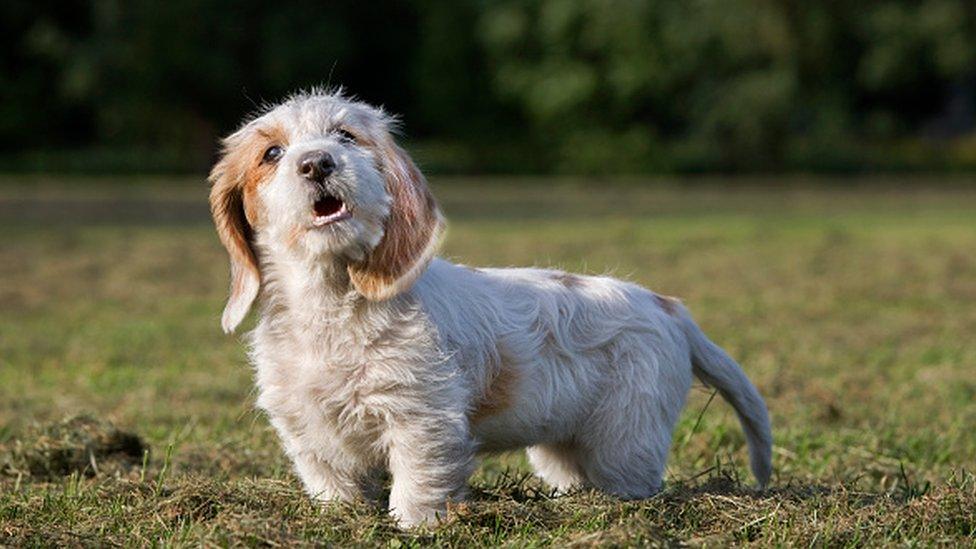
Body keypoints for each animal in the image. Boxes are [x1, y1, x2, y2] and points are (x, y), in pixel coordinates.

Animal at [208, 90, 772, 528]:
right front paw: (341, 519)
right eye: (271, 153)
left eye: (345, 136)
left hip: (625, 438)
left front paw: (413, 527)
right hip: (563, 446)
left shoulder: (422, 418)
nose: (317, 163)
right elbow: (332, 485)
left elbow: (416, 485)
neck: (330, 302)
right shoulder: (308, 430)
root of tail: (667, 307)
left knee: (631, 479)